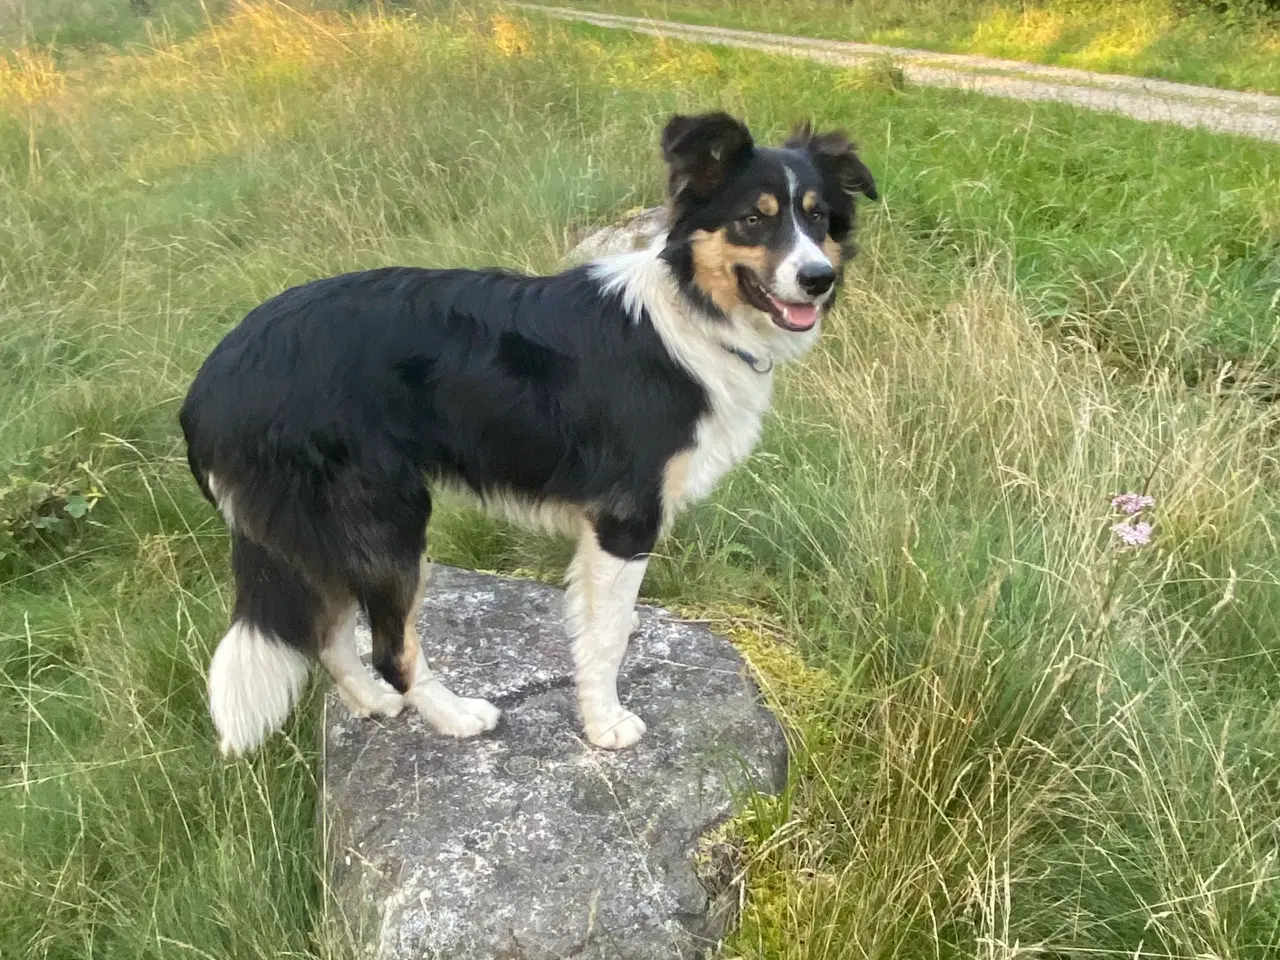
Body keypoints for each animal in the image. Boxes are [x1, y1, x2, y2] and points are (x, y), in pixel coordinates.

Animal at [180, 110, 875, 757]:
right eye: (753, 220)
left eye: (817, 219)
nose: (818, 278)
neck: (695, 313)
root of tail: (206, 388)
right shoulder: (625, 519)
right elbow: (608, 637)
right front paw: (605, 725)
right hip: (385, 521)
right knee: (389, 648)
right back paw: (456, 717)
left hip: (323, 537)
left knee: (326, 635)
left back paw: (375, 704)